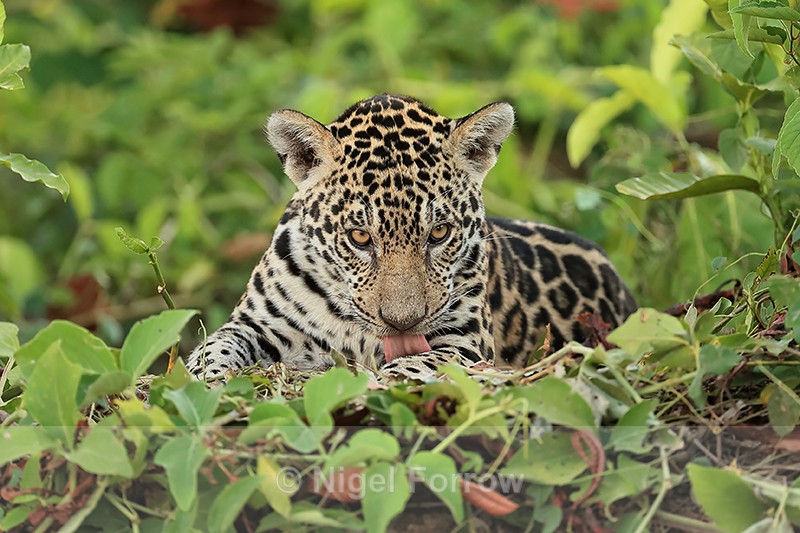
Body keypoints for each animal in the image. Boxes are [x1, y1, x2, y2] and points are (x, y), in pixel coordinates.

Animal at [186, 94, 637, 381]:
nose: (403, 323)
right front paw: (206, 380)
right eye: (359, 237)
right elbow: (214, 347)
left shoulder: (466, 342)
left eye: (438, 233)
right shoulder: (258, 322)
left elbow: (413, 365)